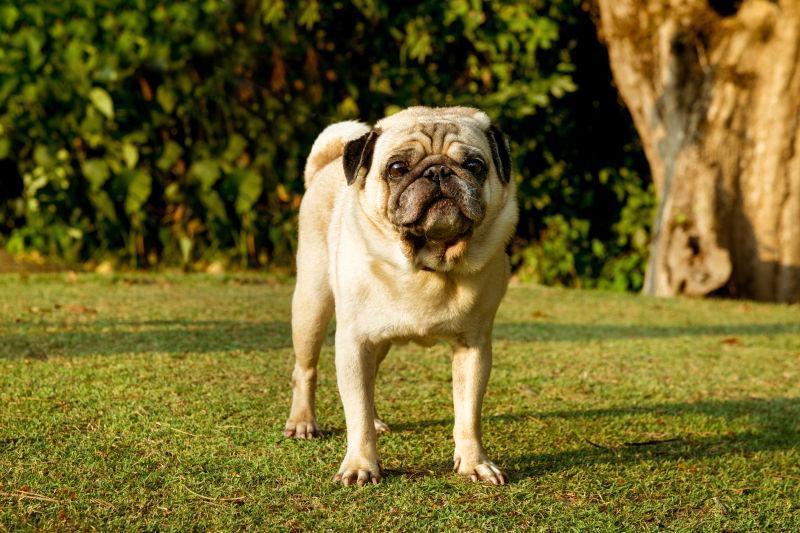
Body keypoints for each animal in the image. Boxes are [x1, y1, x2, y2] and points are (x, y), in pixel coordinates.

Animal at [286, 106, 520, 484]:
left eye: (474, 165)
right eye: (396, 169)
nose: (438, 171)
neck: (427, 264)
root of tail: (326, 165)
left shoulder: (474, 348)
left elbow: (468, 414)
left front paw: (474, 463)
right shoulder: (353, 343)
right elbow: (356, 412)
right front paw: (360, 465)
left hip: (378, 341)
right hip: (311, 306)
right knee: (306, 371)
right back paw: (303, 421)